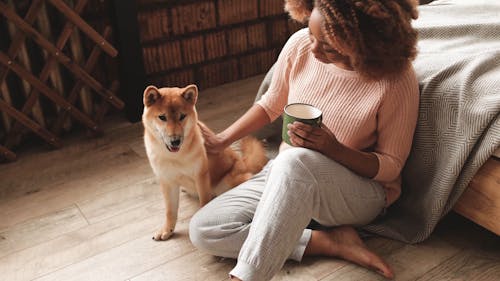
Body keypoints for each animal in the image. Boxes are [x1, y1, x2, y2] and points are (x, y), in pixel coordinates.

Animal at [144, 83, 270, 238]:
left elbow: (204, 201)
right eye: (162, 117)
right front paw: (167, 230)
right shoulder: (167, 181)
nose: (175, 141)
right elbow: (170, 211)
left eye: (182, 116)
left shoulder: (201, 176)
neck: (175, 157)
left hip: (228, 181)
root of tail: (244, 163)